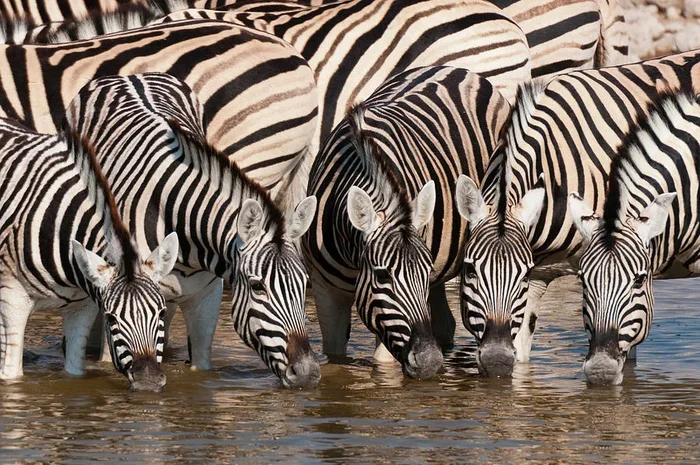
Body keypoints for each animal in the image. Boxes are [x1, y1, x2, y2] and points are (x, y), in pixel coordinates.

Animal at [0, 116, 179, 391]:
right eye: (111, 319)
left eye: (161, 312)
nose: (148, 382)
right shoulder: (13, 298)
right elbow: (11, 376)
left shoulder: (81, 307)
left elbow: (74, 373)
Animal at [303, 66, 510, 377]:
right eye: (382, 276)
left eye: (423, 273)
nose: (429, 362)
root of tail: (458, 69)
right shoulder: (325, 290)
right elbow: (335, 356)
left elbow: (383, 366)